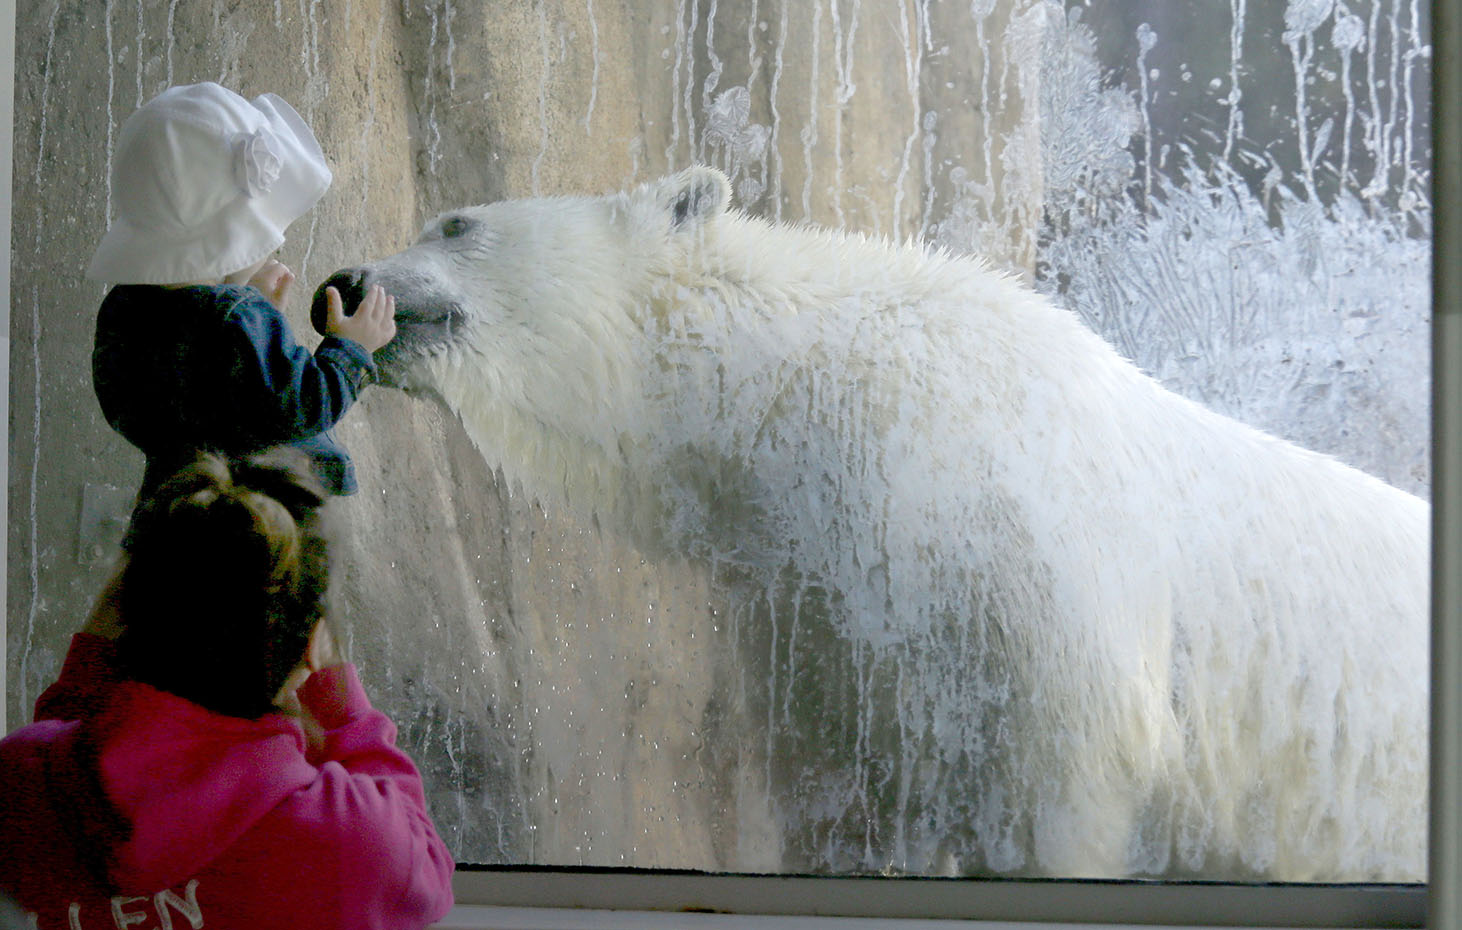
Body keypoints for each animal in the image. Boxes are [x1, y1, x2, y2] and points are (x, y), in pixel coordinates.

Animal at [315, 166, 1428, 881]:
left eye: (455, 222)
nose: (344, 281)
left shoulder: (1035, 580)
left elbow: (1068, 767)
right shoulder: (826, 600)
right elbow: (858, 774)